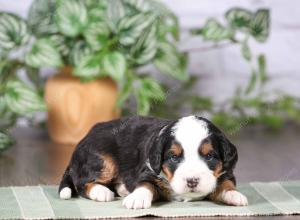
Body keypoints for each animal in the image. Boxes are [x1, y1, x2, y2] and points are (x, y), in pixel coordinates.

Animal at [59, 116, 248, 209]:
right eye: (174, 157)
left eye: (209, 156)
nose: (192, 181)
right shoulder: (148, 170)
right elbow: (146, 185)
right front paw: (137, 198)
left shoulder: (226, 172)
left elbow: (226, 183)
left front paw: (235, 195)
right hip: (103, 160)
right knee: (81, 183)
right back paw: (102, 192)